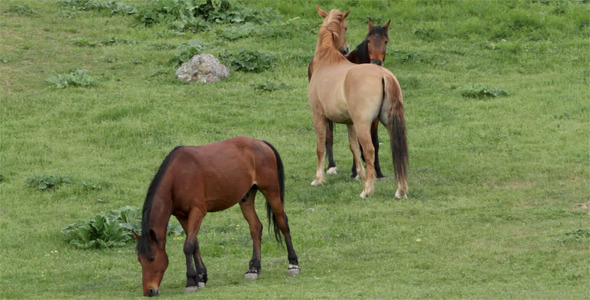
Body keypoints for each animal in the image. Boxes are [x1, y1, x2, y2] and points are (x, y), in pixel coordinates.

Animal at [136, 137, 298, 296]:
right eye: (139, 260)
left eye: (152, 258)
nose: (149, 291)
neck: (178, 176)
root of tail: (262, 142)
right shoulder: (182, 216)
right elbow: (195, 244)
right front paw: (201, 277)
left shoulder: (197, 211)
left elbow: (188, 246)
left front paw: (191, 282)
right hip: (246, 197)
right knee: (256, 227)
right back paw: (254, 269)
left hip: (271, 192)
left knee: (283, 223)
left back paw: (293, 264)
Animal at [308, 19, 390, 180]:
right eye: (369, 40)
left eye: (385, 41)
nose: (376, 62)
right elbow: (355, 142)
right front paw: (355, 171)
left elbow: (374, 142)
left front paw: (378, 171)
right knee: (329, 136)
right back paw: (331, 166)